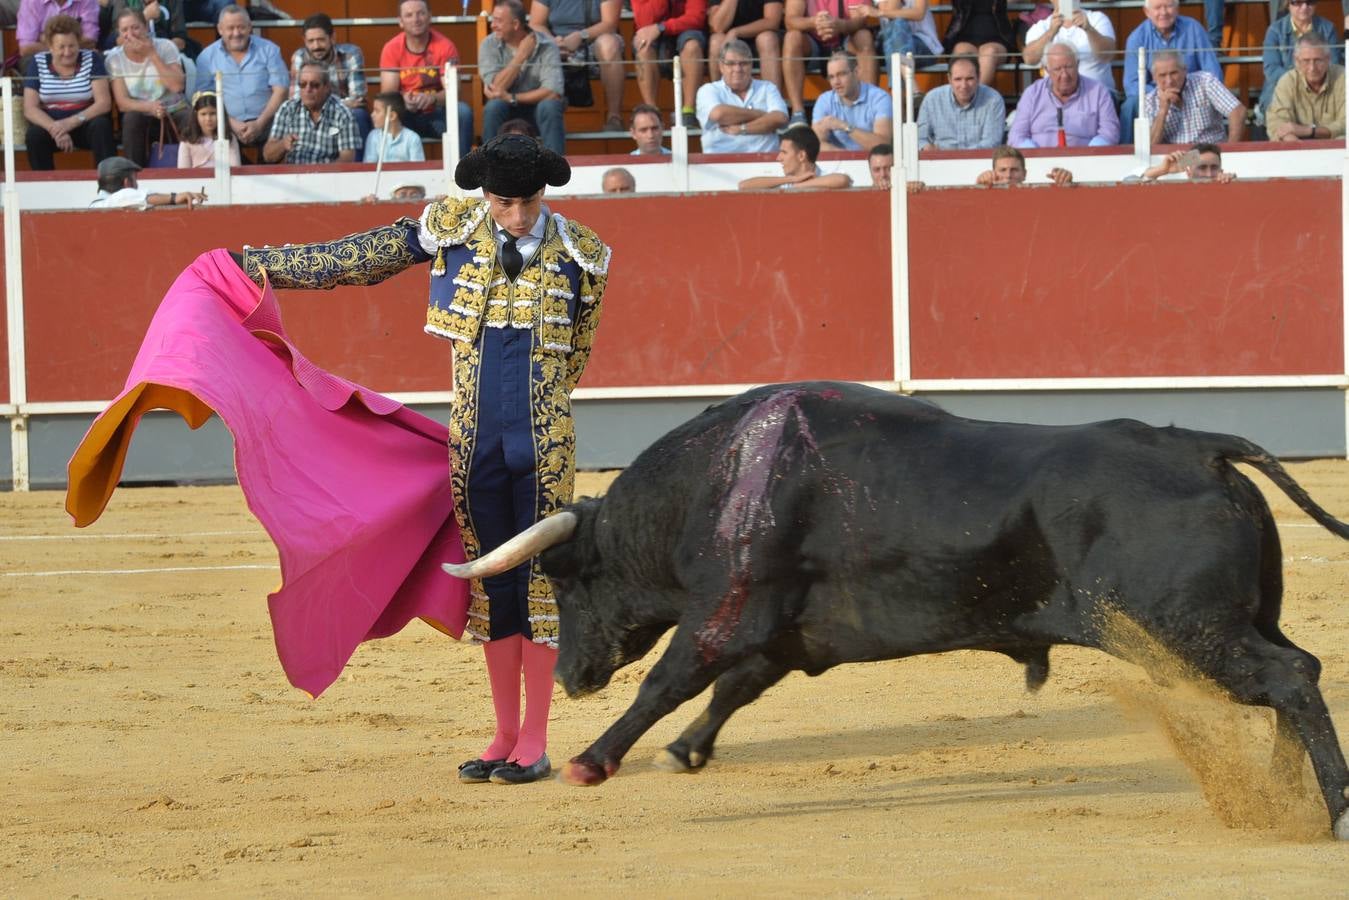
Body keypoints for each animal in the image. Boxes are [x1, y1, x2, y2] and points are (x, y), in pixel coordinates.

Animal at [447, 377, 1349, 836]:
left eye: (569, 580)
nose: (571, 677)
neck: (716, 480)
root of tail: (1202, 447)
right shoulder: (786, 632)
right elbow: (734, 687)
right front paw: (682, 752)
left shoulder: (725, 611)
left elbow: (670, 680)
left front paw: (592, 759)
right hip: (1230, 620)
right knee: (1291, 674)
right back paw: (1288, 801)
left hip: (1180, 629)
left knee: (1288, 677)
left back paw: (1330, 814)